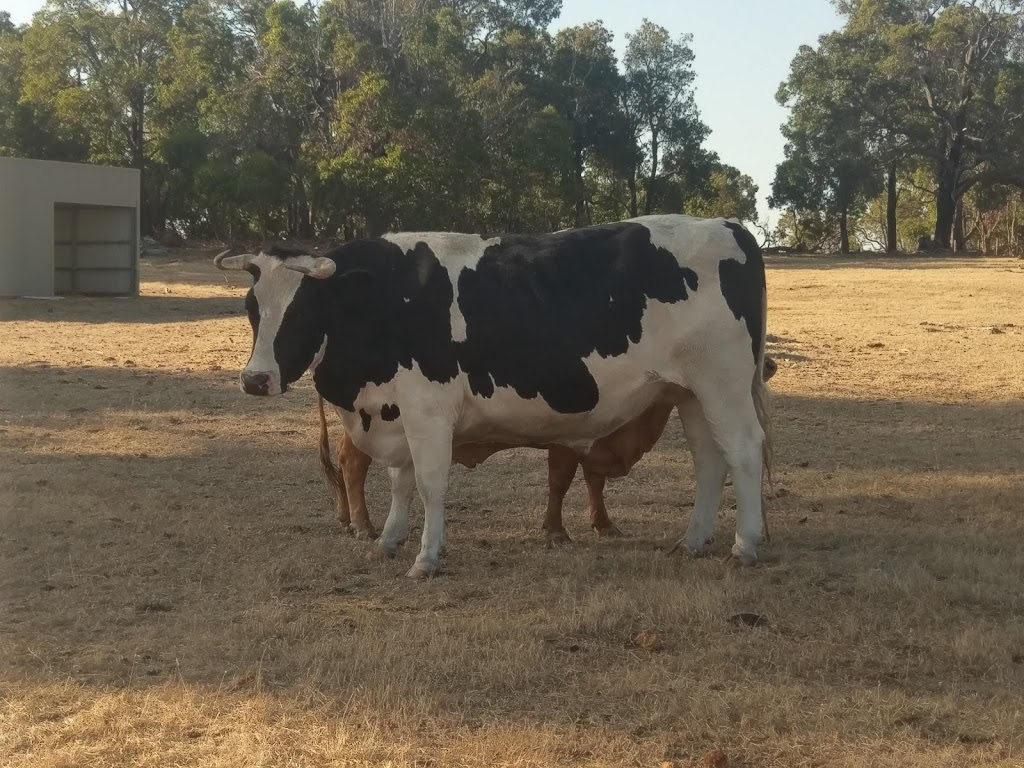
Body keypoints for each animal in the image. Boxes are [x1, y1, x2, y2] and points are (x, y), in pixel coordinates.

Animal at [315, 358, 770, 544]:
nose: (766, 365)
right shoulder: (566, 443)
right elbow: (561, 484)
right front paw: (555, 530)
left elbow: (595, 483)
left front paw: (604, 524)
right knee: (353, 464)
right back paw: (363, 524)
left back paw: (347, 518)